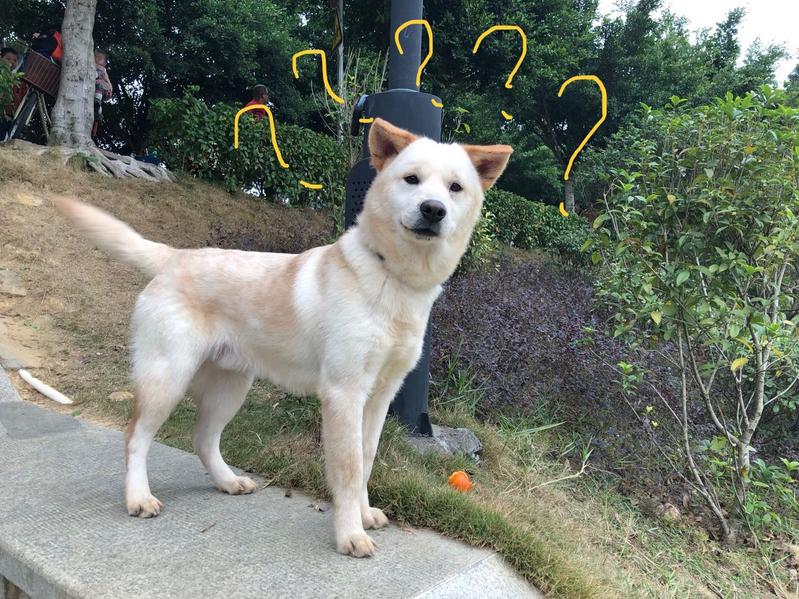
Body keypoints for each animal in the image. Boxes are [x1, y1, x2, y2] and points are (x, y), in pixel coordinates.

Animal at [55, 118, 512, 557]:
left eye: (455, 188)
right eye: (412, 179)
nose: (433, 210)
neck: (393, 278)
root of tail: (175, 256)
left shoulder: (380, 397)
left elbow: (365, 459)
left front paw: (364, 515)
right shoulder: (343, 394)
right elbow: (348, 469)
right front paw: (350, 533)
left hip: (230, 387)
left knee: (203, 439)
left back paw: (227, 481)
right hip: (167, 378)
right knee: (135, 437)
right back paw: (138, 497)